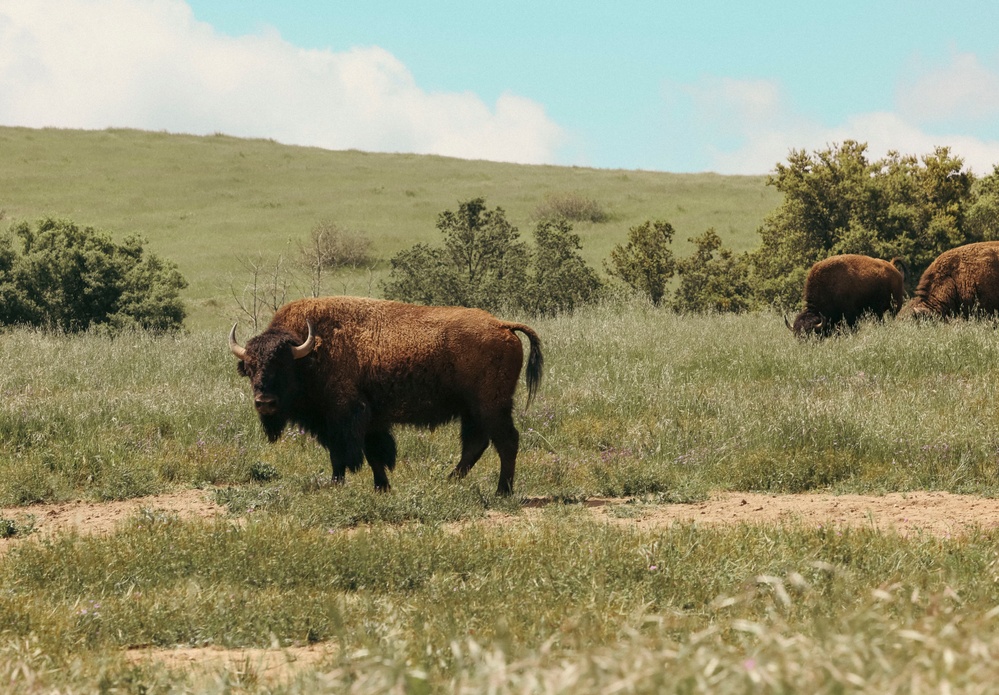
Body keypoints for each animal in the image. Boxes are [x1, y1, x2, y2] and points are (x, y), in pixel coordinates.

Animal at [228, 296, 544, 498]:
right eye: (250, 368)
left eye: (282, 366)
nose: (265, 403)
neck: (310, 353)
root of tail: (502, 325)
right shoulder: (369, 421)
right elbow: (374, 454)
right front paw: (382, 487)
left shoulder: (343, 416)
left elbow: (342, 454)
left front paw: (337, 483)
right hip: (473, 411)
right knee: (476, 444)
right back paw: (449, 481)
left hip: (491, 407)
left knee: (506, 441)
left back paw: (502, 491)